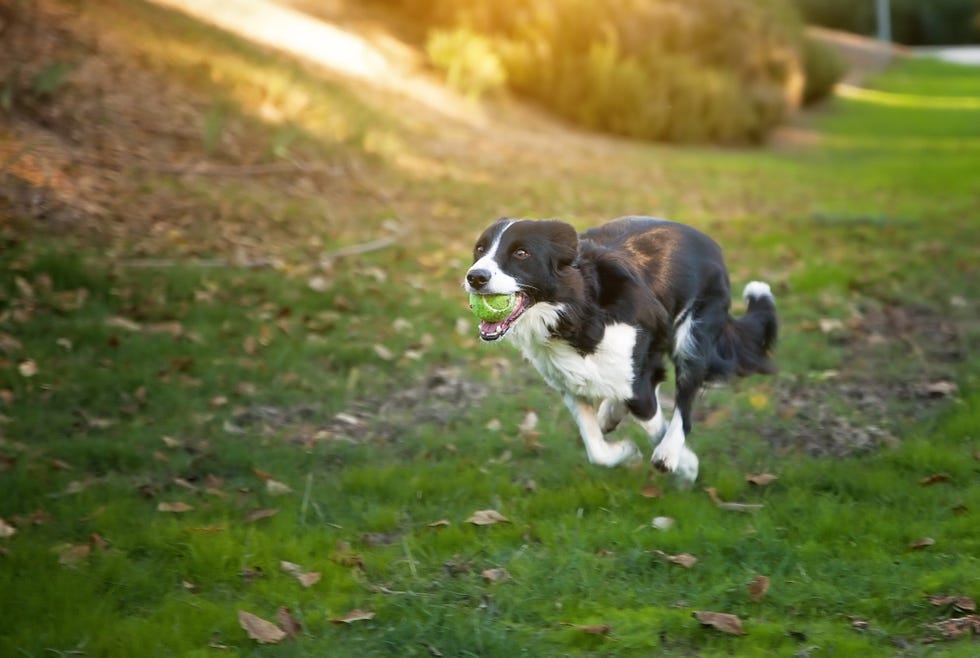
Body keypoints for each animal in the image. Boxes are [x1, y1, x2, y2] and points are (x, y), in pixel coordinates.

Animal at [464, 215, 776, 482]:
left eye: (521, 253)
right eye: (480, 249)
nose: (475, 277)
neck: (576, 308)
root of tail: (711, 243)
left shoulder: (637, 378)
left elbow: (654, 422)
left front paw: (686, 465)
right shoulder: (569, 385)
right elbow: (596, 449)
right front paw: (626, 451)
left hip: (694, 336)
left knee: (683, 402)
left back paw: (668, 452)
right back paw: (612, 413)